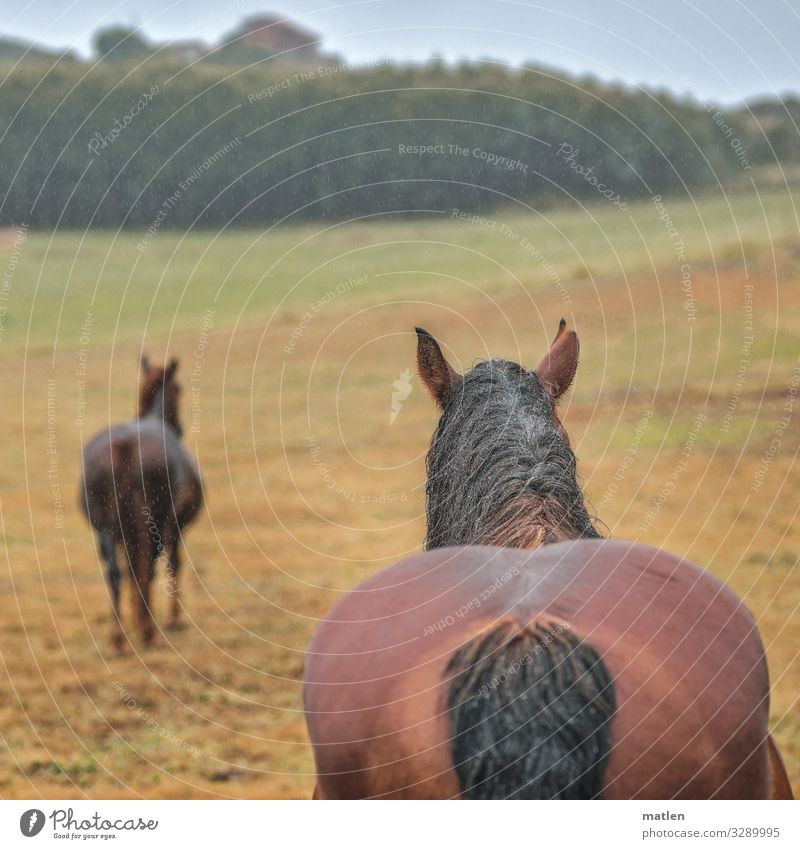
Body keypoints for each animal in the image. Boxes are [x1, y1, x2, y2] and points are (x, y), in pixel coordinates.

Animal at [80, 358, 203, 648]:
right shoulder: (173, 527)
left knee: (116, 572)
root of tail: (124, 446)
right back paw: (147, 630)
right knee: (147, 567)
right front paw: (173, 620)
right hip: (153, 521)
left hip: (106, 527)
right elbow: (172, 564)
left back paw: (119, 637)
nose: (180, 428)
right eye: (179, 388)